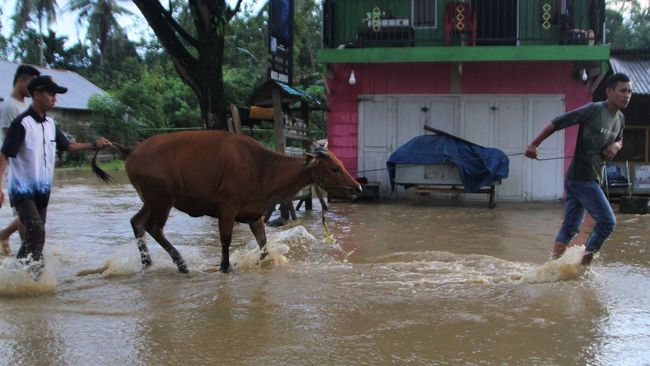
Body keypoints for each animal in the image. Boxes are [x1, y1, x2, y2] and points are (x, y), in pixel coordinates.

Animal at [92, 130, 360, 274]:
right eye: (335, 168)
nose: (357, 187)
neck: (263, 170)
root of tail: (131, 150)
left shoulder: (254, 215)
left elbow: (264, 247)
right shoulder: (227, 208)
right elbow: (225, 241)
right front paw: (225, 267)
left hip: (150, 199)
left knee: (137, 222)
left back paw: (148, 263)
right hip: (162, 198)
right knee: (153, 228)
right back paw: (181, 264)